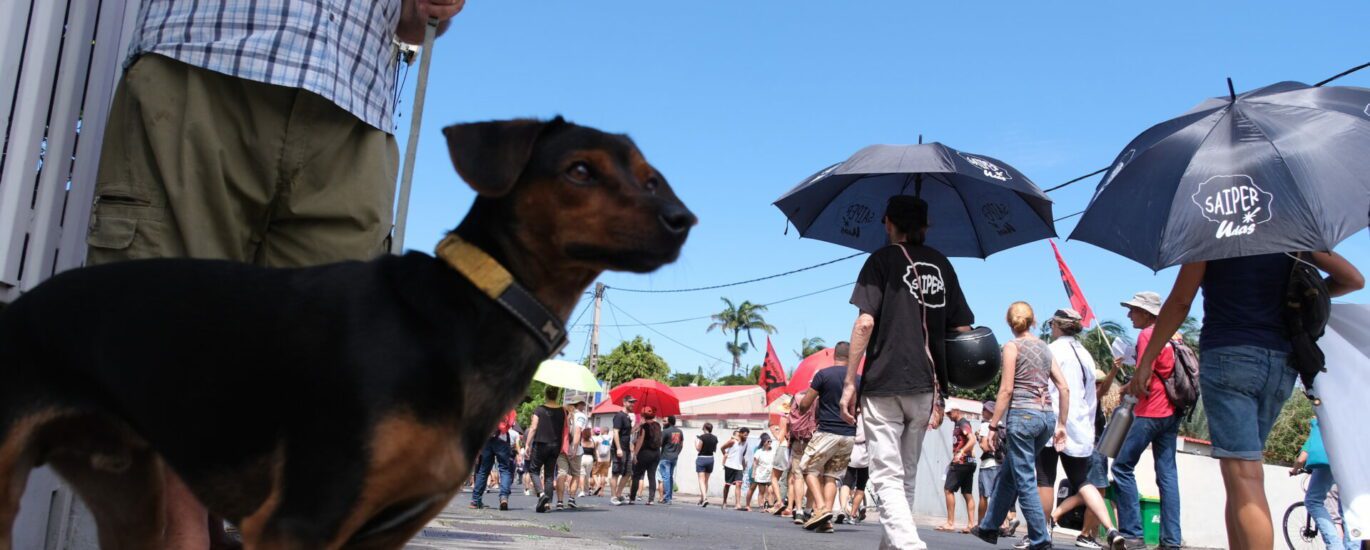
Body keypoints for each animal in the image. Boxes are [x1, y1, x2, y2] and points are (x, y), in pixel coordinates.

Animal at [0, 117, 690, 545]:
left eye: (651, 176)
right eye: (579, 171)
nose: (682, 218)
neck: (471, 309)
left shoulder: (379, 533)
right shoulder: (299, 521)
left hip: (131, 497)